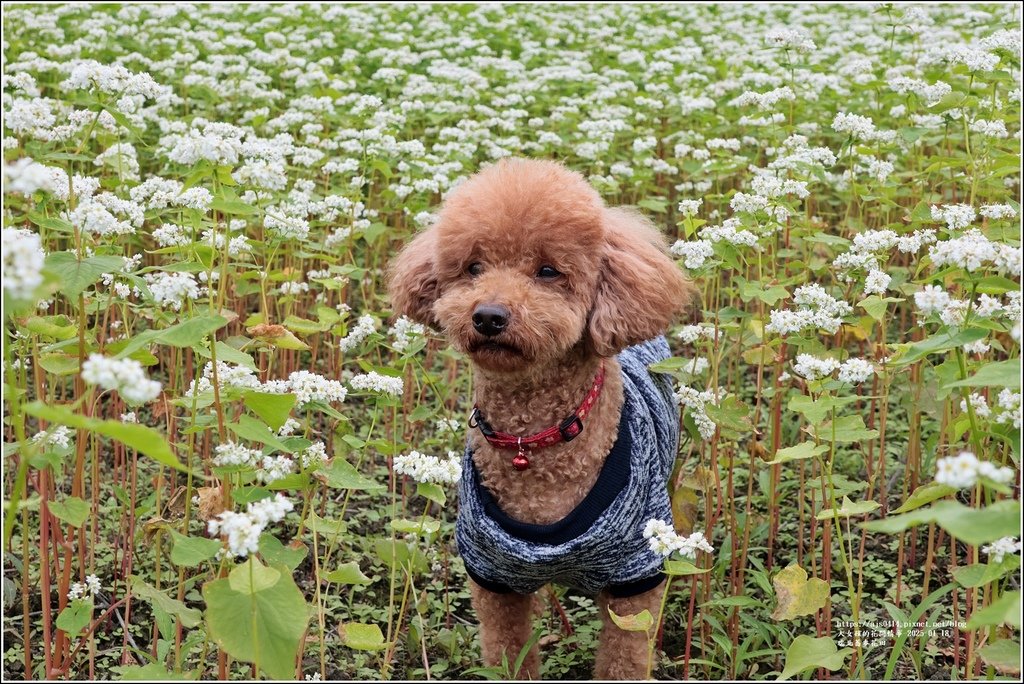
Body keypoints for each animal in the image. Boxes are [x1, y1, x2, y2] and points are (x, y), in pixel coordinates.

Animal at [385, 158, 696, 679]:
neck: (535, 439)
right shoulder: (494, 575)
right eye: (474, 267)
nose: (489, 316)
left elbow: (624, 657)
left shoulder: (635, 577)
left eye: (548, 271)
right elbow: (509, 651)